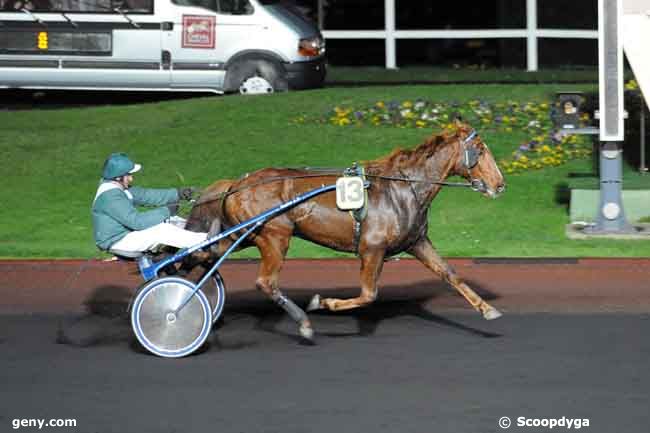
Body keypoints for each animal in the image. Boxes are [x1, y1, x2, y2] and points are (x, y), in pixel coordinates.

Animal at [185, 121, 504, 340]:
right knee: (265, 282)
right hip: (273, 236)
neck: (404, 187)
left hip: (241, 235)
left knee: (203, 255)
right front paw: (322, 302)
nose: (500, 184)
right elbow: (368, 294)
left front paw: (487, 309)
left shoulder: (417, 242)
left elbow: (451, 274)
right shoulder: (372, 249)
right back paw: (303, 322)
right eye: (480, 151)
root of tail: (237, 183)